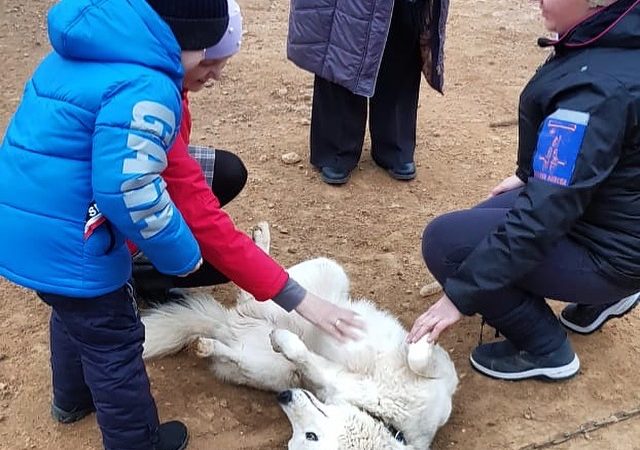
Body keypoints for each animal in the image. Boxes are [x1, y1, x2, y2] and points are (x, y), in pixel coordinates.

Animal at [142, 223, 458, 448]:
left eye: (309, 436)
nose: (284, 397)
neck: (390, 419)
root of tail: (227, 323)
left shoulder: (331, 377)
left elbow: (302, 355)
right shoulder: (439, 367)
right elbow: (417, 356)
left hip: (268, 367)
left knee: (238, 334)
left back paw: (208, 345)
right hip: (327, 272)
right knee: (265, 283)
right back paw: (261, 240)